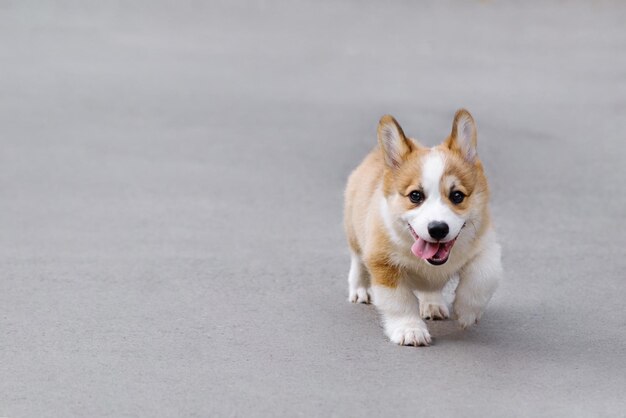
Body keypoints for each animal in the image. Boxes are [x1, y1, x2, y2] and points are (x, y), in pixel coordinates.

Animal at [344, 108, 500, 346]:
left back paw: (433, 304)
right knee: (357, 260)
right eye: (415, 196)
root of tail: (376, 154)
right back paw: (360, 289)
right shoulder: (383, 262)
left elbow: (483, 274)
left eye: (457, 196)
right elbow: (399, 301)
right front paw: (410, 330)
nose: (437, 229)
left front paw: (467, 312)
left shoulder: (487, 244)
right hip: (354, 231)